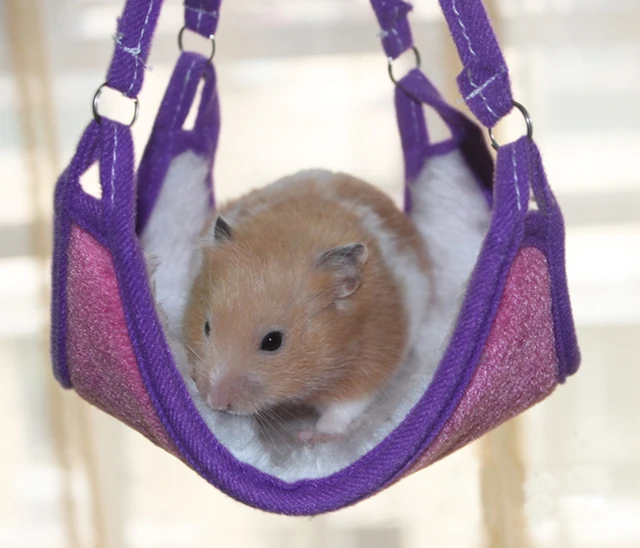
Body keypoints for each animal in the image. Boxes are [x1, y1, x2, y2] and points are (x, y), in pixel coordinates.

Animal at [182, 169, 431, 443]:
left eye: (273, 341)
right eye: (206, 327)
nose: (215, 402)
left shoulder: (372, 359)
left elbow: (343, 409)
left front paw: (309, 436)